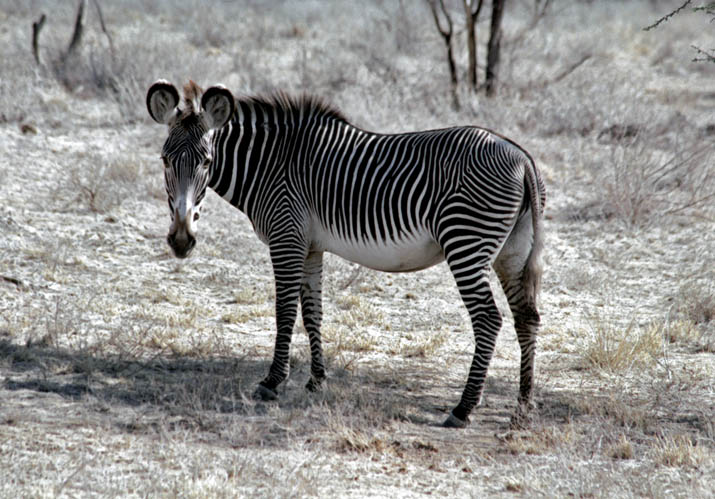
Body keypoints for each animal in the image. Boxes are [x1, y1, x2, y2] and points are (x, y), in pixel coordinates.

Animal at [147, 80, 548, 428]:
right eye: (164, 160)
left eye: (207, 161)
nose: (181, 240)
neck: (271, 163)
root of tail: (521, 157)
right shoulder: (309, 246)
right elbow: (313, 313)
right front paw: (316, 381)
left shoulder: (286, 237)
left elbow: (284, 312)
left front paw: (272, 382)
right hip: (511, 252)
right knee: (526, 317)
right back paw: (523, 406)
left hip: (465, 242)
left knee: (489, 318)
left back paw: (463, 409)